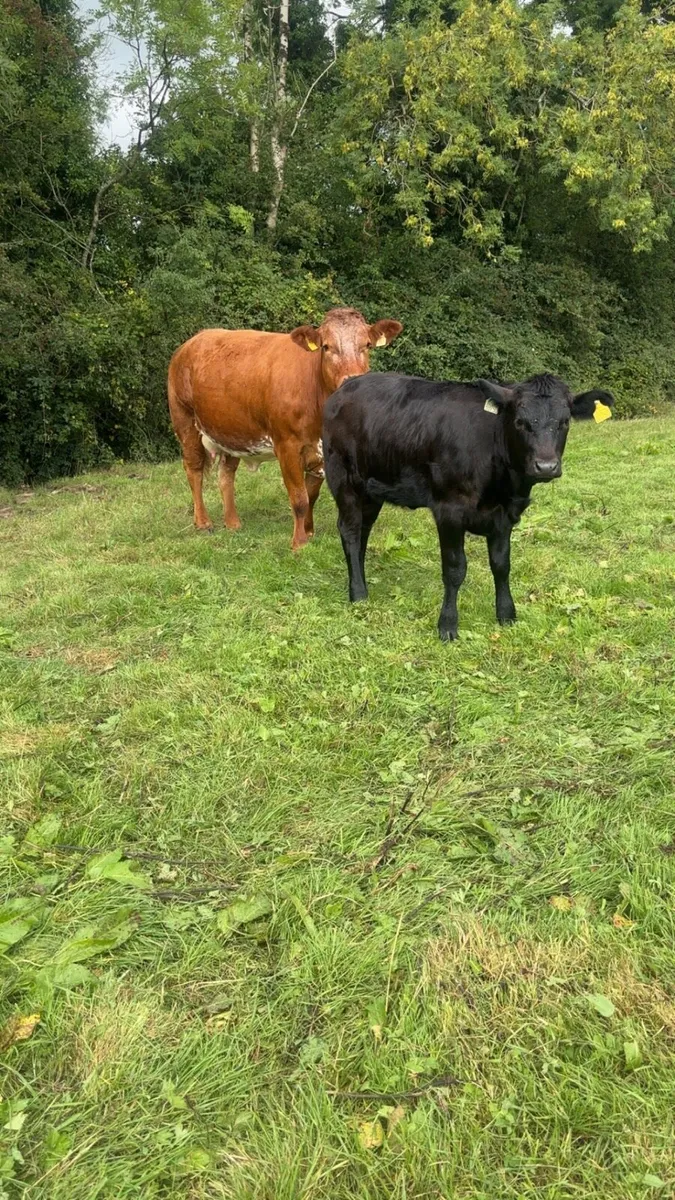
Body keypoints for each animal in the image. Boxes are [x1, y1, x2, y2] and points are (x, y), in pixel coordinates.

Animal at [167, 309, 403, 550]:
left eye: (367, 345)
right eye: (326, 347)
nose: (352, 382)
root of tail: (195, 339)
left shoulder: (321, 451)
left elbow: (312, 494)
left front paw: (309, 531)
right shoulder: (287, 446)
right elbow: (299, 498)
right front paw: (299, 543)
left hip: (231, 431)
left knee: (226, 475)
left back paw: (232, 522)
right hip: (185, 421)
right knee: (194, 470)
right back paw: (203, 522)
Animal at [322, 372, 615, 640]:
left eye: (564, 422)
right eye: (519, 422)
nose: (546, 466)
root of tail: (347, 386)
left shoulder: (505, 515)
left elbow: (501, 564)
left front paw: (506, 614)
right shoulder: (449, 510)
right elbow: (455, 569)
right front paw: (448, 625)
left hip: (373, 489)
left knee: (364, 529)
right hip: (343, 478)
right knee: (350, 531)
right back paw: (358, 593)